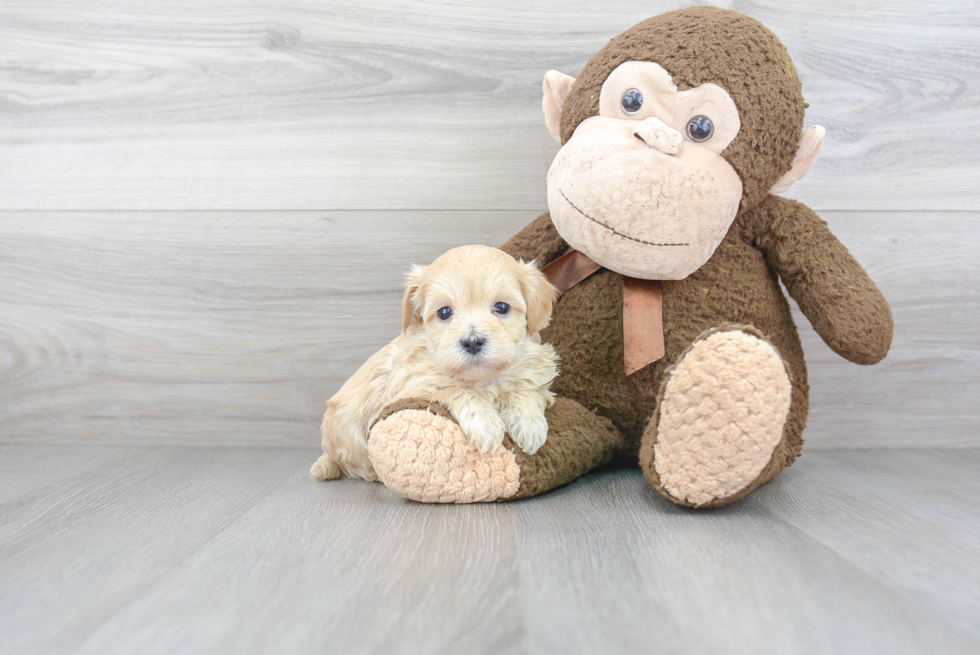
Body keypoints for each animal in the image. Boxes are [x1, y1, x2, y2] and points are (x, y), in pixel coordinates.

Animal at [312, 246, 560, 482]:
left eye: (501, 307)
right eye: (444, 312)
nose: (472, 342)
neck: (482, 377)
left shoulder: (535, 371)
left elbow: (524, 389)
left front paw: (529, 424)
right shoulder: (412, 381)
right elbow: (457, 388)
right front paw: (485, 424)